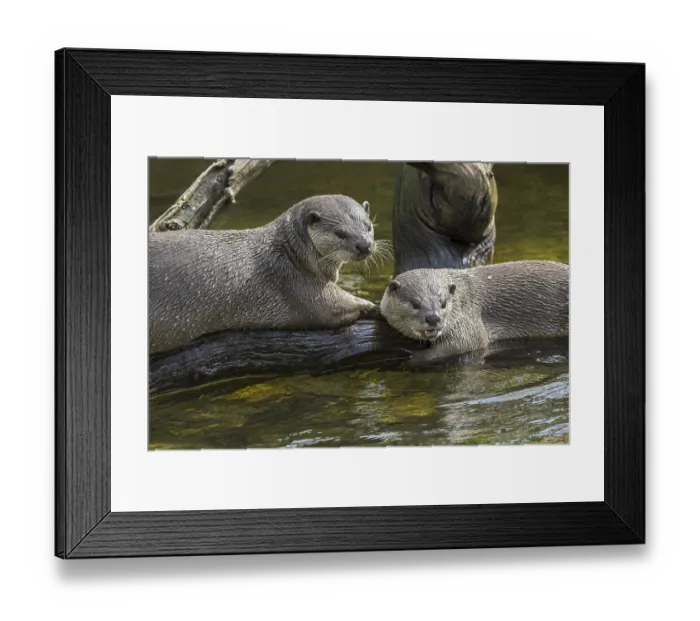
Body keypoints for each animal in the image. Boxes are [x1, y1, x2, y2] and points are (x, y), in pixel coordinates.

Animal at [149, 195, 377, 354]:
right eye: (340, 233)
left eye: (368, 226)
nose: (364, 245)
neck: (290, 254)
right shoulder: (295, 283)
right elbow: (333, 305)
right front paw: (371, 306)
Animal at [380, 261, 568, 363]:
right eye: (415, 304)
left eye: (443, 303)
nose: (433, 318)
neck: (462, 296)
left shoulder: (468, 318)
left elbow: (469, 343)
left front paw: (414, 358)